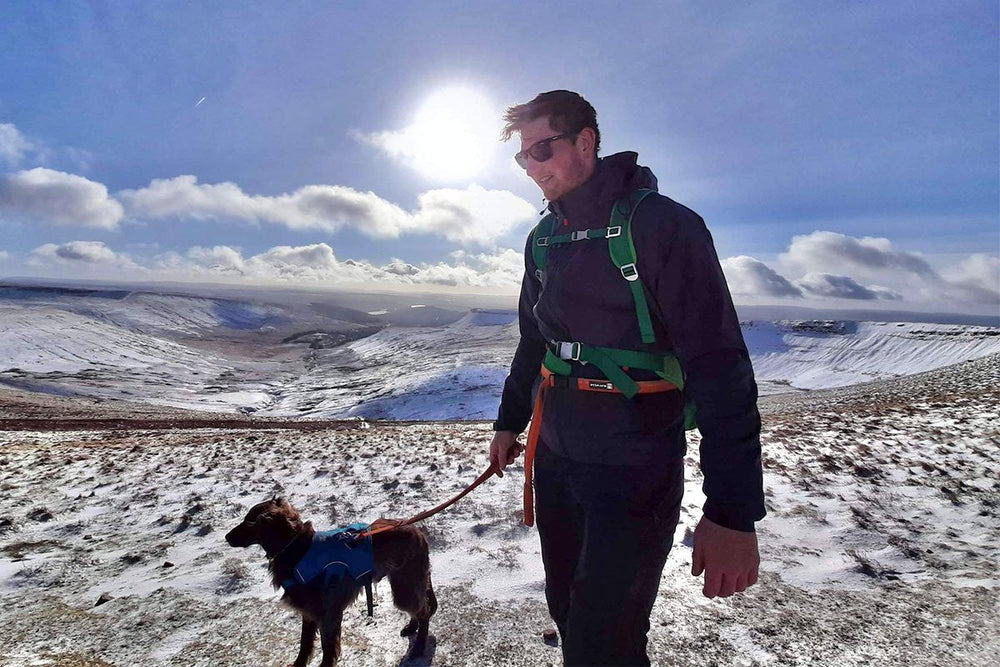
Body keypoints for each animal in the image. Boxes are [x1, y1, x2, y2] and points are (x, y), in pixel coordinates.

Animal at [228, 498, 438, 664]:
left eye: (250, 521)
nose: (226, 537)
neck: (296, 548)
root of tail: (417, 530)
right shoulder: (310, 612)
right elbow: (304, 645)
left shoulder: (328, 613)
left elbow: (327, 650)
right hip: (407, 584)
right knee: (420, 608)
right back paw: (412, 627)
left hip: (405, 587)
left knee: (424, 612)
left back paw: (419, 646)